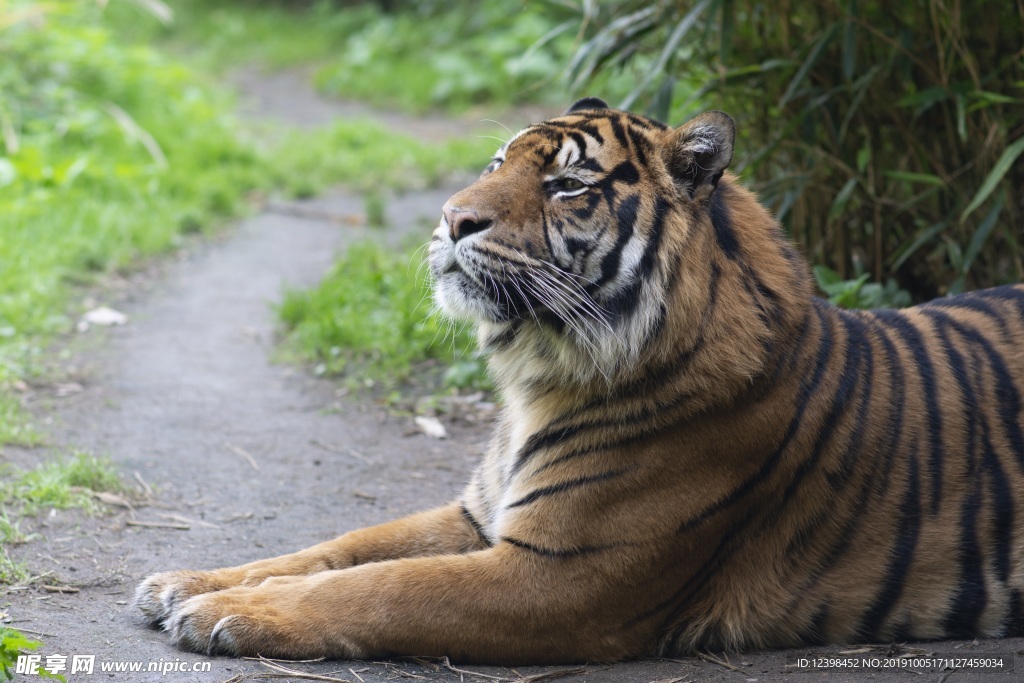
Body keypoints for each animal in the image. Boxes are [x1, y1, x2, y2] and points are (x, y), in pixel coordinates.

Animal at [135, 98, 1024, 664]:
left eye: (566, 185)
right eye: (497, 162)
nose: (451, 218)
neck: (540, 374)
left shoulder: (560, 575)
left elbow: (379, 586)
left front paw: (224, 612)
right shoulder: (478, 513)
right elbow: (339, 547)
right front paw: (186, 581)